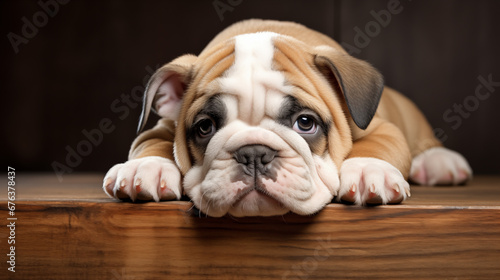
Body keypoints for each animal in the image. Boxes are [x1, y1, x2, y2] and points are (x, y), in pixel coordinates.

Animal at [102, 19, 472, 217]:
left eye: (305, 123)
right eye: (205, 127)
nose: (253, 153)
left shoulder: (382, 126)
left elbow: (379, 144)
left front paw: (370, 171)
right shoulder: (162, 126)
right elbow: (149, 143)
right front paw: (143, 169)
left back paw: (440, 162)